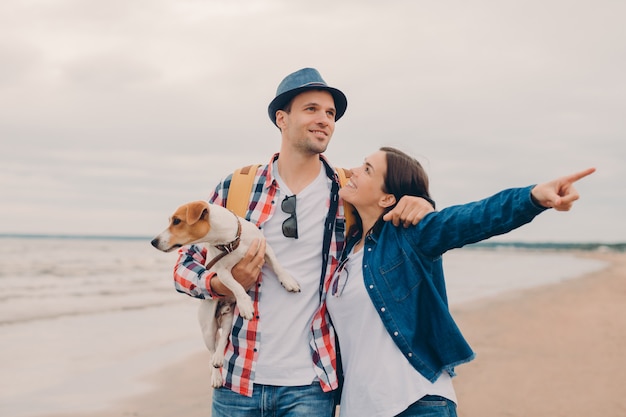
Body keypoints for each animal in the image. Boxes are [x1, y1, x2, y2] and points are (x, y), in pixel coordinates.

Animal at [150, 200, 298, 386]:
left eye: (176, 221)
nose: (153, 242)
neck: (229, 242)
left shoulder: (265, 248)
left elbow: (277, 265)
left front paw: (288, 281)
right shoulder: (222, 273)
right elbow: (236, 285)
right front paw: (245, 303)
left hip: (228, 318)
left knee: (222, 341)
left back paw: (220, 357)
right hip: (207, 328)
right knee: (212, 350)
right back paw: (216, 374)